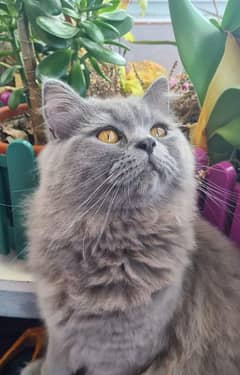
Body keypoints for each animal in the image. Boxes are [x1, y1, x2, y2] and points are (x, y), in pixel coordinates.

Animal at [21, 78, 240, 374]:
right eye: (108, 136)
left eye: (158, 130)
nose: (148, 143)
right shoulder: (59, 333)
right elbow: (52, 367)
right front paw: (37, 367)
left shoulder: (125, 354)